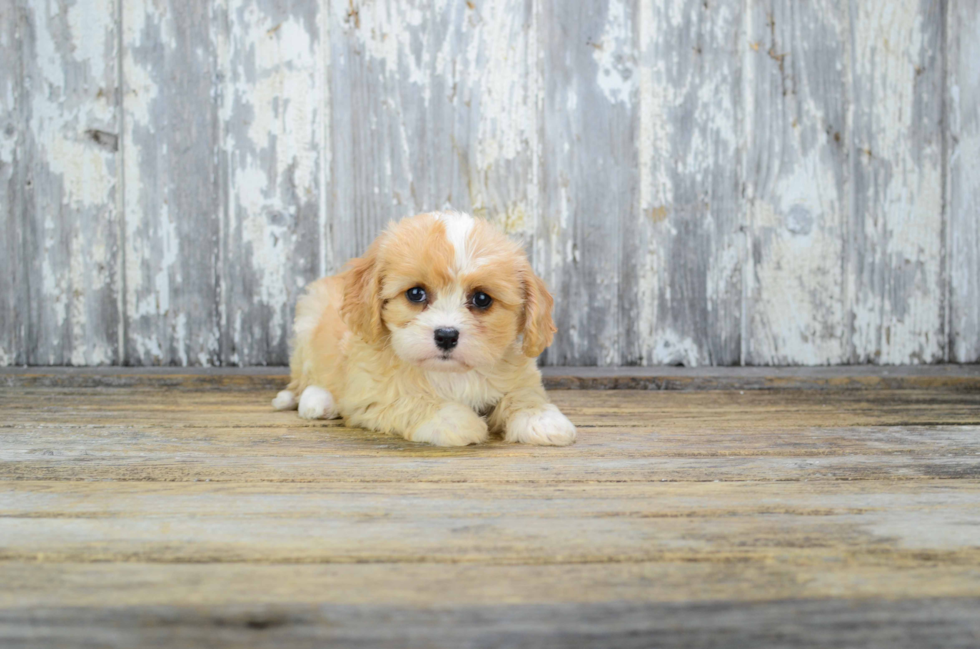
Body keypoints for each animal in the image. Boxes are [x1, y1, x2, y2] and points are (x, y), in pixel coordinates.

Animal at [270, 211, 576, 446]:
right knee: (304, 381)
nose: (446, 335)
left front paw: (542, 419)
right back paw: (318, 400)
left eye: (481, 299)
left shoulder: (519, 375)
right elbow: (413, 402)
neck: (450, 375)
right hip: (306, 325)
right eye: (416, 293)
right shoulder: (374, 395)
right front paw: (456, 420)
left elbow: (524, 394)